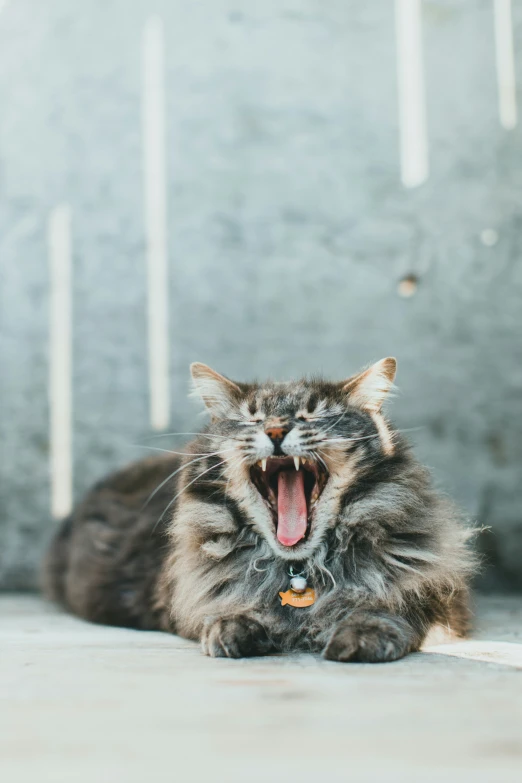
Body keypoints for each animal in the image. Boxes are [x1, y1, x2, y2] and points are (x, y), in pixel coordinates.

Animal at [43, 360, 476, 660]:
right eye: (251, 420)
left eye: (311, 414)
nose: (276, 430)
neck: (300, 570)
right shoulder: (186, 600)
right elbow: (227, 612)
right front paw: (238, 629)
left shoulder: (441, 601)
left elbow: (391, 609)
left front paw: (362, 633)